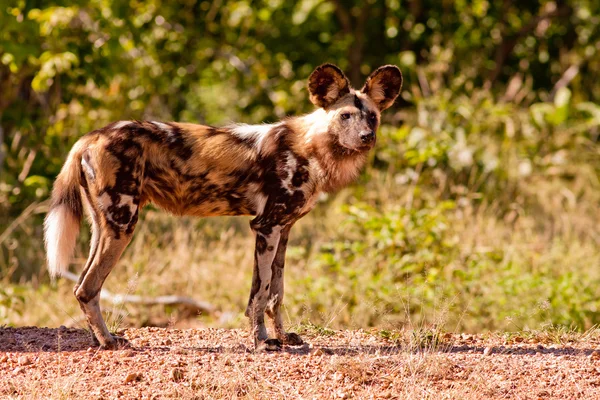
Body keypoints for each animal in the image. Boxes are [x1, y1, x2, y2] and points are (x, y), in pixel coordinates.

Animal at [44, 62, 404, 350]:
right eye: (345, 116)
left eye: (372, 117)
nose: (366, 137)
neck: (311, 148)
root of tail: (92, 135)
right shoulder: (266, 227)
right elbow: (259, 295)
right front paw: (262, 341)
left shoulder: (283, 229)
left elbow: (276, 293)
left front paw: (284, 337)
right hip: (122, 224)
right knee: (88, 288)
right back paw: (108, 342)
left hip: (103, 226)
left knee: (81, 285)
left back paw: (99, 339)